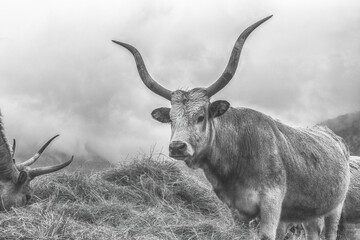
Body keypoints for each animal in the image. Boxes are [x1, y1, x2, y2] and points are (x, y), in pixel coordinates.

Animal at [112, 15, 348, 240]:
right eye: (171, 119)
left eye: (200, 116)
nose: (177, 147)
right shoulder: (236, 209)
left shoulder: (271, 202)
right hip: (309, 212)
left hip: (335, 208)